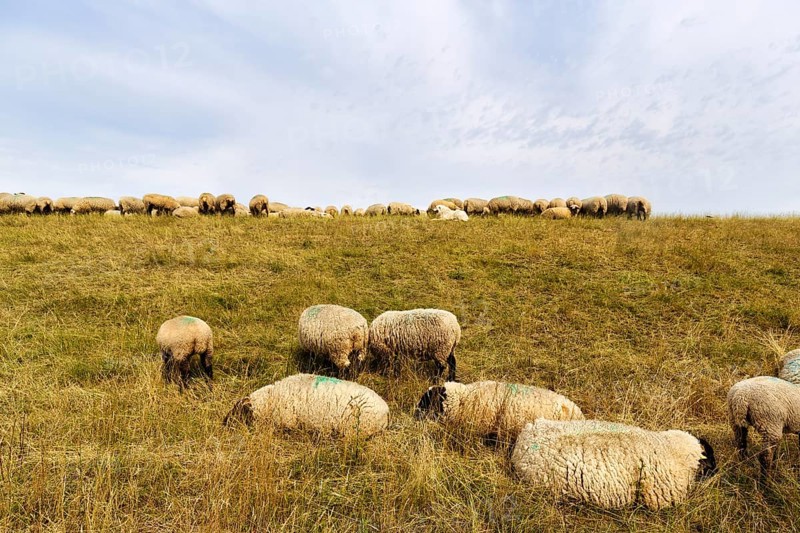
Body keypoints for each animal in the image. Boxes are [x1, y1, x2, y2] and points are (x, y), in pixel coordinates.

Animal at [223, 373, 389, 438]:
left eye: (238, 411)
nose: (224, 423)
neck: (270, 400)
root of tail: (386, 411)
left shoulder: (287, 421)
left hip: (357, 429)